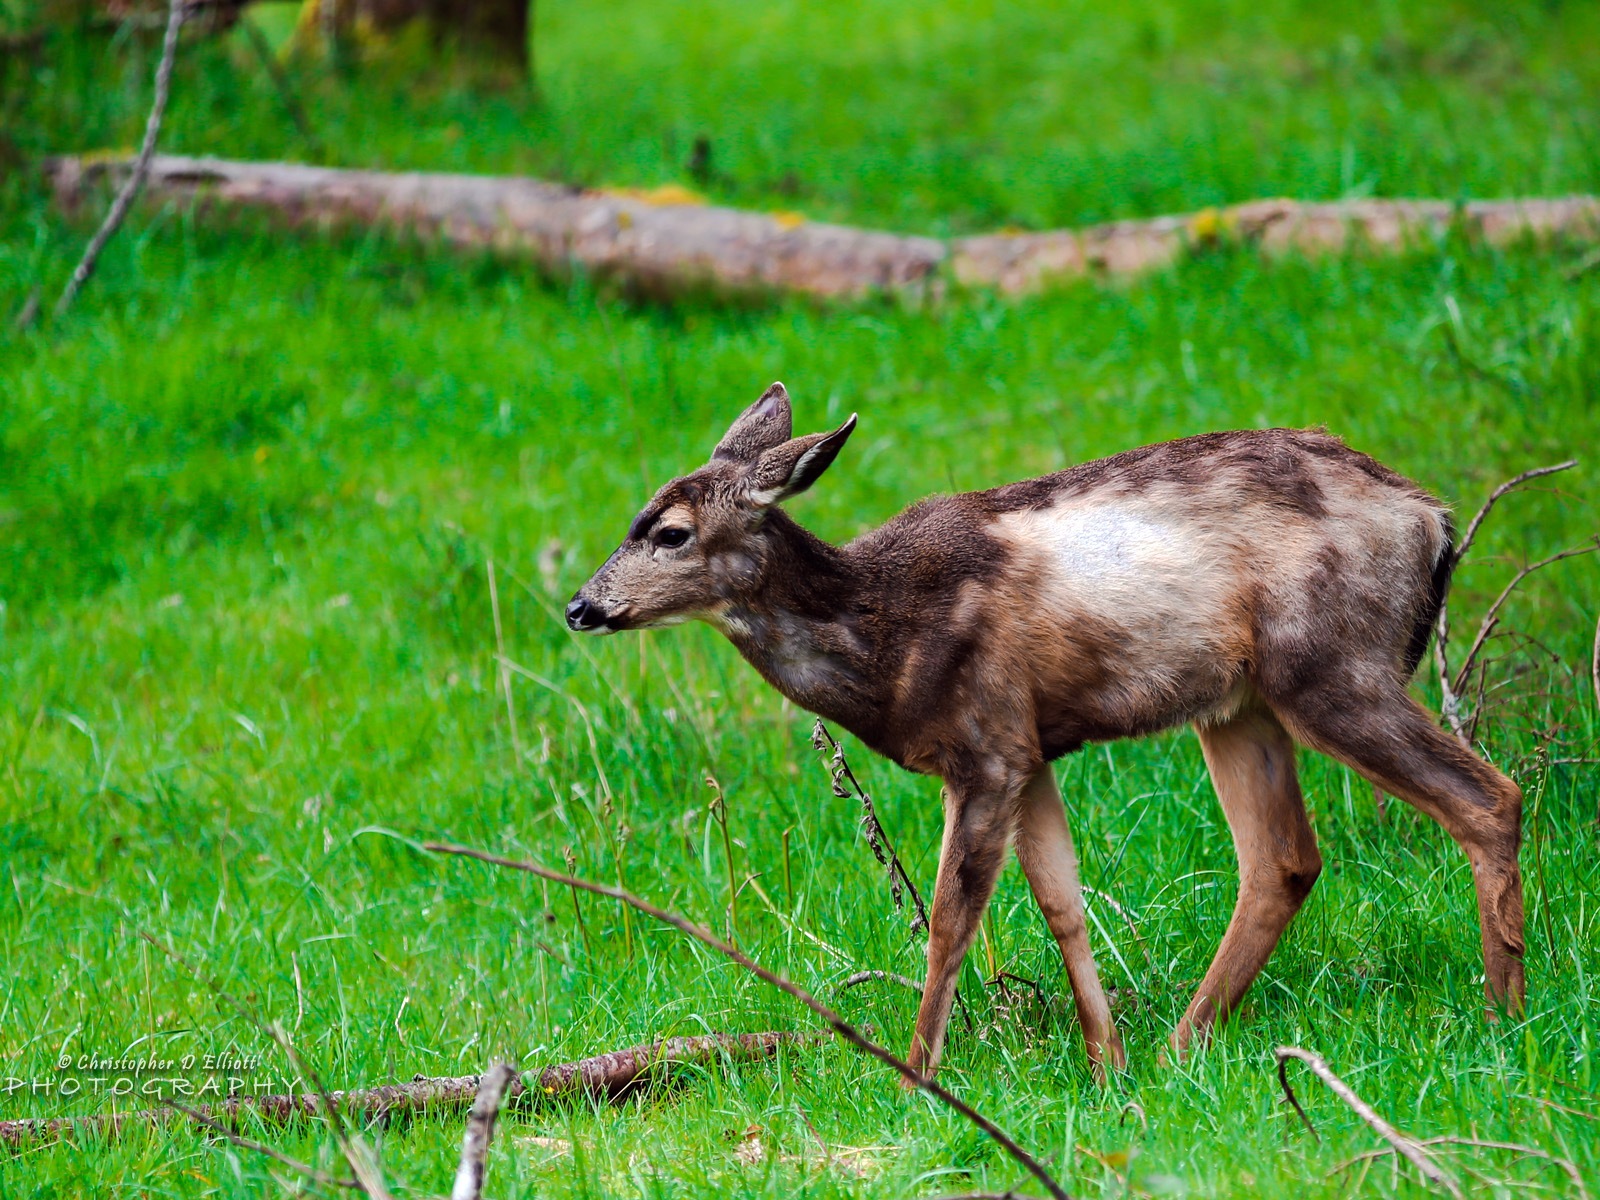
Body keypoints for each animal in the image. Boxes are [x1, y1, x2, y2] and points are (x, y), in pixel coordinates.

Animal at [563, 382, 1523, 1081]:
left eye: (672, 532)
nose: (580, 607)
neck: (889, 634)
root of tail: (1431, 516)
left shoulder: (985, 744)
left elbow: (952, 916)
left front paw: (917, 1075)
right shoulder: (1029, 749)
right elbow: (1063, 903)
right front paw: (1106, 1065)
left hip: (1331, 667)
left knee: (1490, 798)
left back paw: (1502, 1015)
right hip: (1241, 704)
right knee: (1283, 860)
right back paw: (1180, 1049)